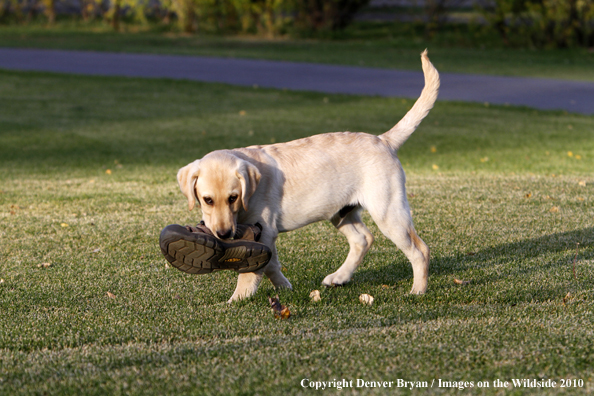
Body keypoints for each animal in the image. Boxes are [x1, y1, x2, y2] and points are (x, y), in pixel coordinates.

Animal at [173, 51, 438, 302]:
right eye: (207, 200)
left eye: (233, 198)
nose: (223, 234)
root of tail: (384, 140)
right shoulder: (266, 236)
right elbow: (270, 265)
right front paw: (284, 287)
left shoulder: (264, 230)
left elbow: (251, 271)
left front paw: (237, 299)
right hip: (340, 212)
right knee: (363, 239)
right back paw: (339, 277)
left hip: (388, 211)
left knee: (420, 250)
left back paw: (418, 290)